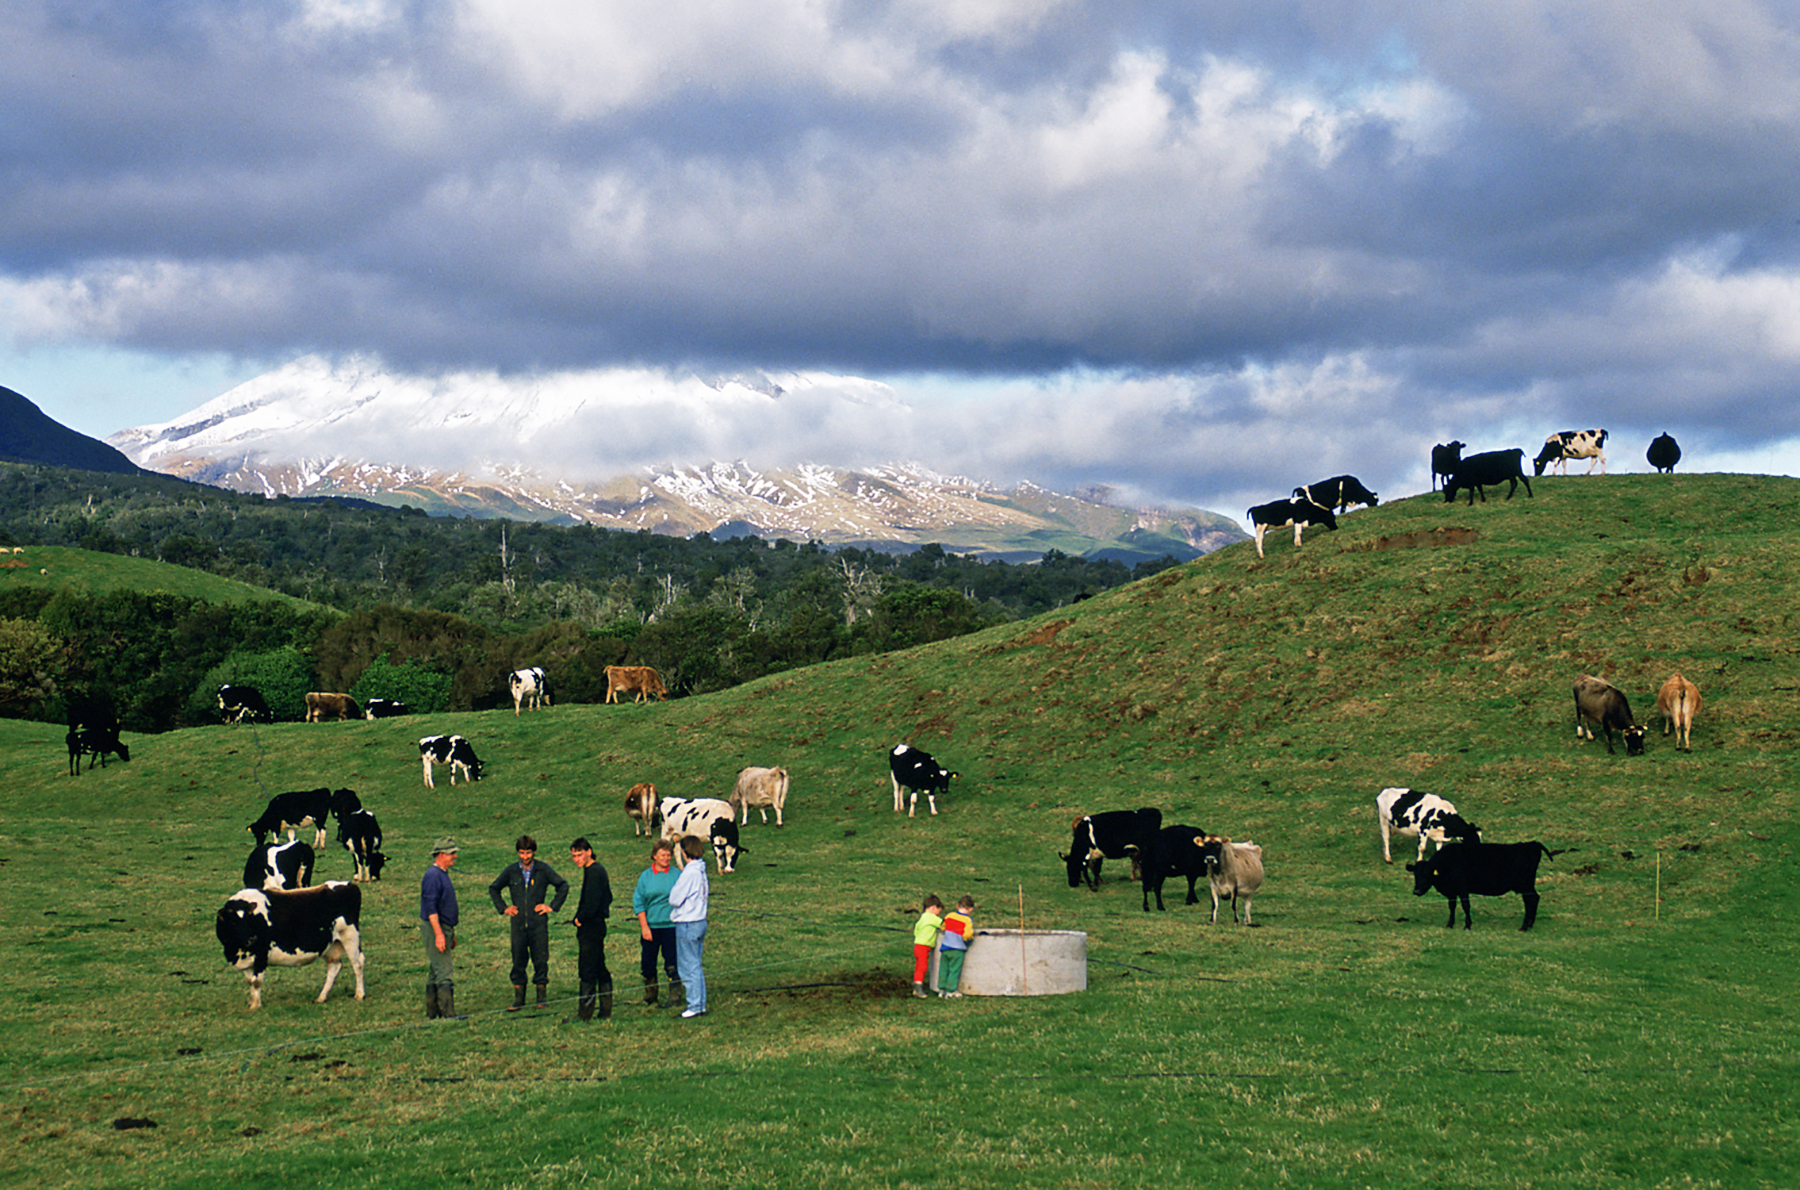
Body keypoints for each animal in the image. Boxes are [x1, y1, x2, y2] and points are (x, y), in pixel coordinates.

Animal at [212, 878, 363, 1008]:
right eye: (233, 922)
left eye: (249, 919)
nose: (252, 938)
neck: (236, 951)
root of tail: (349, 884)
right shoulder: (247, 961)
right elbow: (250, 981)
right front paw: (252, 1002)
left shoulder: (262, 954)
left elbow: (256, 981)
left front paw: (256, 1006)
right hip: (331, 945)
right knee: (334, 967)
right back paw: (321, 997)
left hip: (350, 936)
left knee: (358, 964)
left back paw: (359, 994)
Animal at [1404, 846, 1562, 928]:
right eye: (1415, 875)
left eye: (1428, 874)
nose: (1416, 891)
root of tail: (1533, 844)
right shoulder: (1451, 891)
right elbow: (1452, 906)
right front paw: (1450, 924)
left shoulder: (1462, 889)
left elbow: (1466, 906)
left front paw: (1467, 925)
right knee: (1532, 899)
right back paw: (1529, 924)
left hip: (1525, 885)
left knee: (1532, 899)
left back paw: (1525, 926)